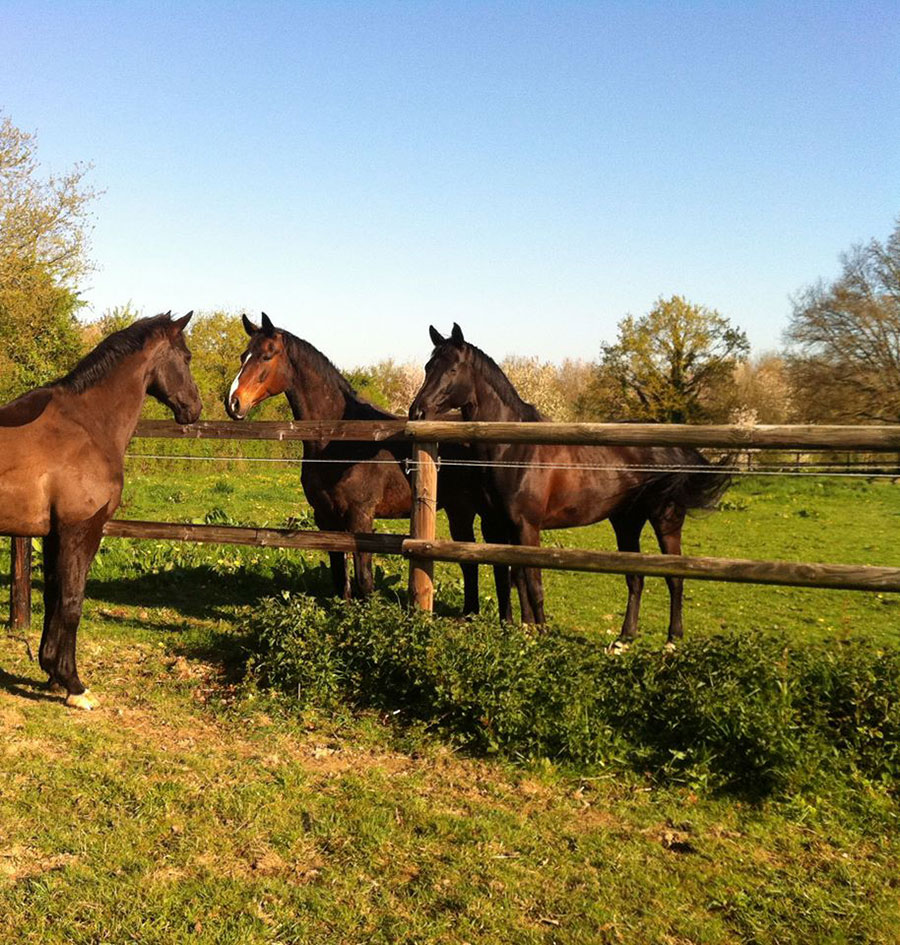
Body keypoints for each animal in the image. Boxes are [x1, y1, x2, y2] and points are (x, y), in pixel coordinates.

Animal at [0, 314, 200, 704]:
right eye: (185, 357)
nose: (194, 409)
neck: (87, 424)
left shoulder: (53, 534)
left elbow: (54, 596)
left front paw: (52, 673)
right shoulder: (82, 529)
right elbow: (72, 600)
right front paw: (74, 685)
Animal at [223, 314, 506, 616]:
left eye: (267, 355)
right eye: (243, 355)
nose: (234, 402)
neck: (339, 438)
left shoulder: (360, 517)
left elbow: (364, 579)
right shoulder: (325, 517)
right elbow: (340, 576)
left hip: (466, 510)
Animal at [408, 322, 732, 640]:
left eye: (452, 369)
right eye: (428, 366)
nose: (417, 411)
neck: (513, 449)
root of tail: (675, 448)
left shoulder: (527, 526)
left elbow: (532, 583)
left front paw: (540, 633)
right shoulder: (497, 526)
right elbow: (511, 578)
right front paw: (519, 629)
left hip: (666, 520)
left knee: (674, 577)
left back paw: (672, 640)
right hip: (626, 522)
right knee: (636, 576)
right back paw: (624, 638)